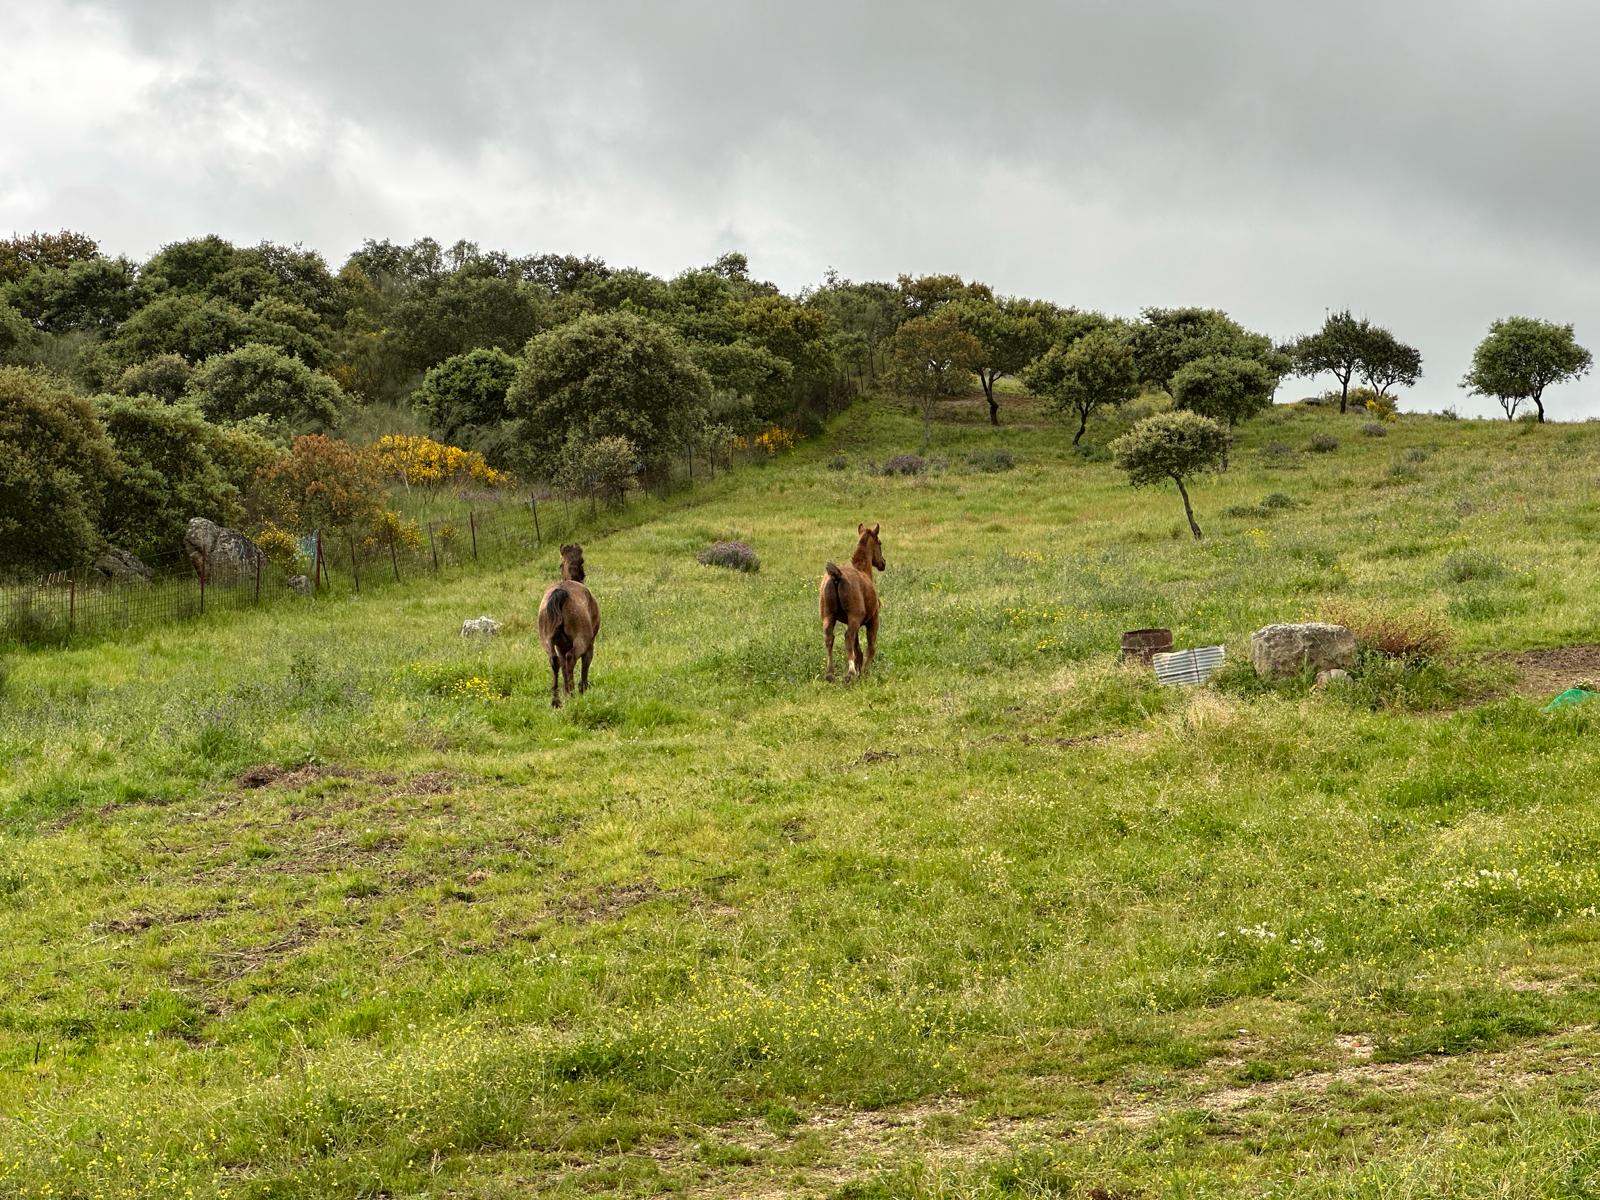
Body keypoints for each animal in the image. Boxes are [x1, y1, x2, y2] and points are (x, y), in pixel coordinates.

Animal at [537, 543, 601, 708]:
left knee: (555, 661)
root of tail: (560, 593)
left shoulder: (560, 646)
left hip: (547, 641)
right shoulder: (590, 644)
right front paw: (582, 689)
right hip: (582, 640)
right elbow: (585, 665)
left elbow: (563, 668)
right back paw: (572, 694)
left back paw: (556, 700)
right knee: (571, 658)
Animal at [819, 523, 886, 682]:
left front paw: (860, 667)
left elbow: (857, 648)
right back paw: (850, 673)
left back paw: (830, 674)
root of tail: (836, 576)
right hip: (854, 617)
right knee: (848, 638)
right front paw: (865, 671)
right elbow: (870, 646)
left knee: (829, 638)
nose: (883, 563)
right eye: (880, 543)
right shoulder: (873, 619)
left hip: (828, 616)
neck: (863, 570)